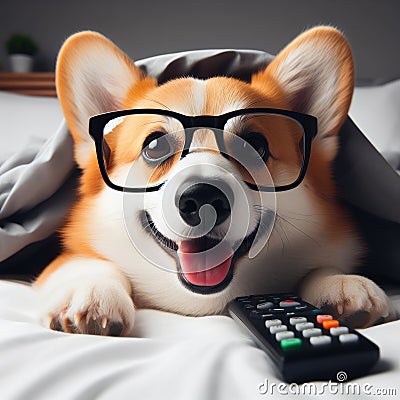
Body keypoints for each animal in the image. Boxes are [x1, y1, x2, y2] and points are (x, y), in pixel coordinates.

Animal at [34, 26, 390, 336]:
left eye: (255, 145)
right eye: (154, 146)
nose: (203, 199)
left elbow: (324, 266)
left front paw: (342, 282)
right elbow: (84, 262)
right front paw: (92, 291)